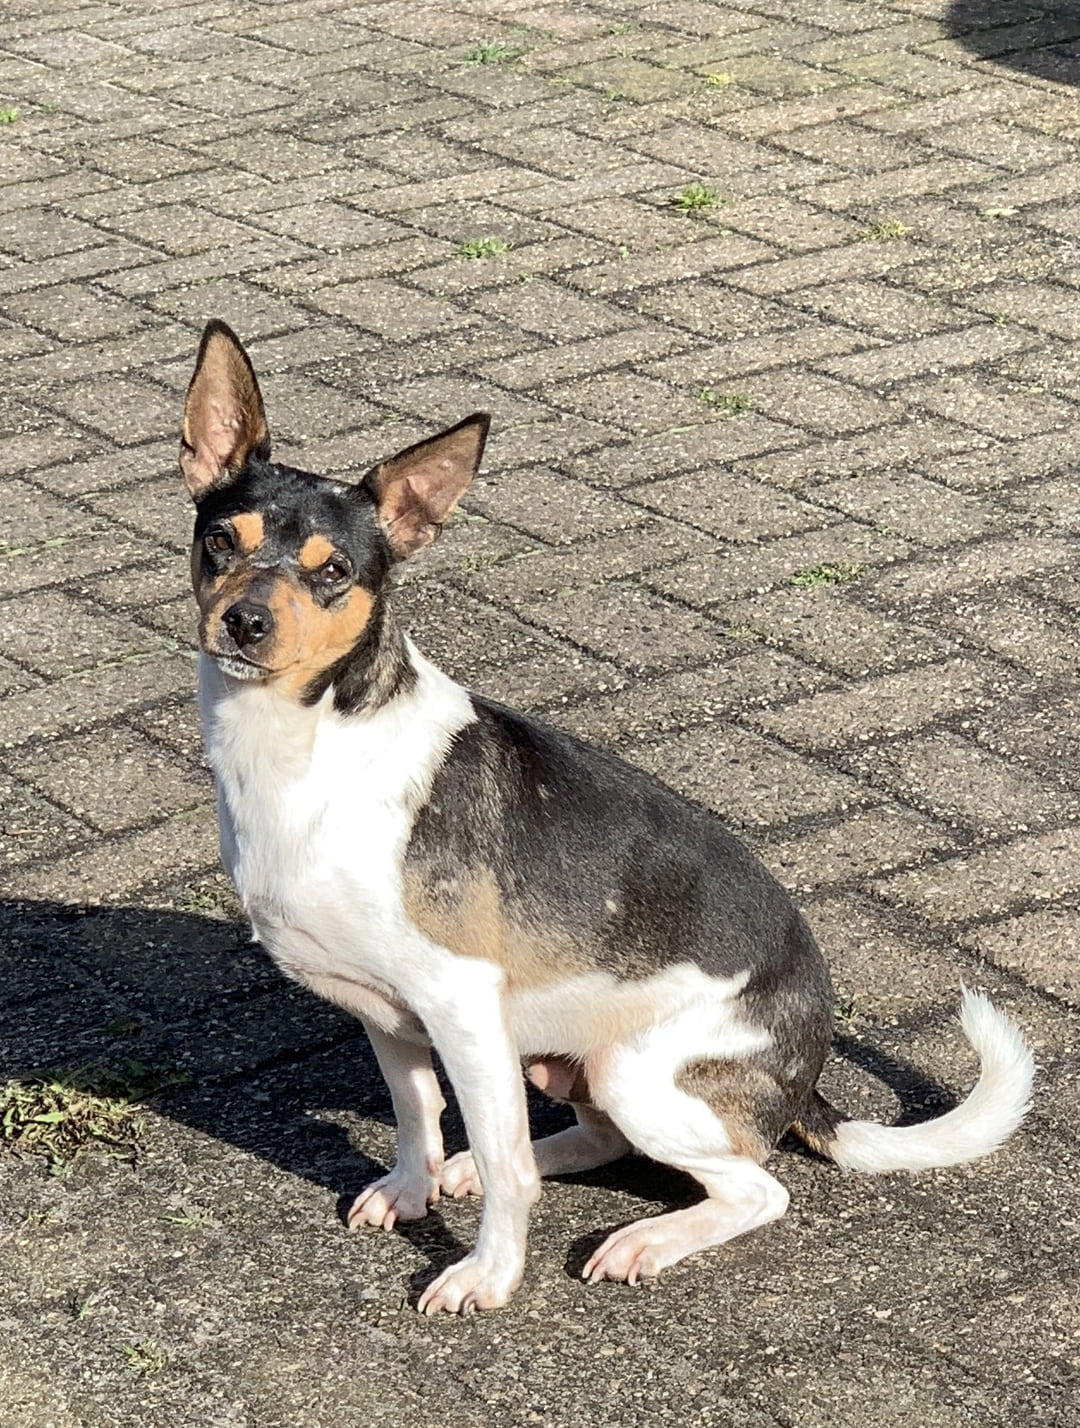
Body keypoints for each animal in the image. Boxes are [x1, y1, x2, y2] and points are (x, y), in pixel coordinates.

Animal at [180, 320, 1034, 1315]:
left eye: (334, 573)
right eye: (219, 541)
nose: (244, 623)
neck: (309, 746)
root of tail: (809, 1071)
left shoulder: (459, 1005)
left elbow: (509, 1169)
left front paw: (488, 1274)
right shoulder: (389, 1017)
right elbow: (416, 1116)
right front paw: (415, 1185)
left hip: (636, 1072)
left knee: (753, 1187)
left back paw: (648, 1239)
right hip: (557, 1059)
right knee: (594, 1141)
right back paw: (480, 1177)